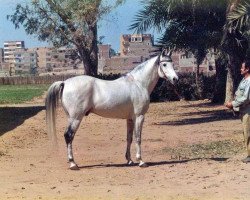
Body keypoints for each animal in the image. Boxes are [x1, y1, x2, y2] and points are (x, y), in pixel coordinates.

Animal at [46, 49, 179, 169]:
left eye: (172, 63)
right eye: (164, 64)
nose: (175, 79)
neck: (138, 84)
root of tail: (65, 82)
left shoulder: (130, 119)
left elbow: (129, 138)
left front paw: (129, 160)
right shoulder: (139, 117)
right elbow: (138, 138)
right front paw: (141, 161)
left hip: (71, 117)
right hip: (76, 118)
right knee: (68, 136)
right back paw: (73, 163)